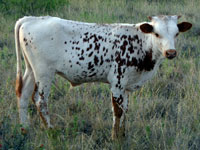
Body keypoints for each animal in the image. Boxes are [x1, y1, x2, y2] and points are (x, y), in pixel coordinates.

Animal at [14, 14, 191, 138]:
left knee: (23, 95)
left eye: (176, 34)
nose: (171, 52)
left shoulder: (127, 85)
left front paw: (123, 134)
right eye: (157, 33)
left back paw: (24, 129)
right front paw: (115, 138)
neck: (140, 43)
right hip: (44, 73)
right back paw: (51, 131)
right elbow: (117, 111)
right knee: (40, 101)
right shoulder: (117, 83)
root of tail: (31, 19)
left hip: (31, 70)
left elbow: (125, 109)